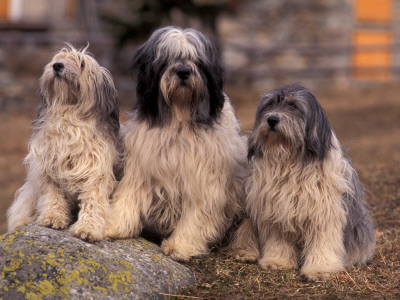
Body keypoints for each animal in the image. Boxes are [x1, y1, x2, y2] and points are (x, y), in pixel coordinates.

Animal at [7, 44, 120, 241]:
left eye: (81, 64)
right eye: (58, 59)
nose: (57, 66)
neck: (69, 115)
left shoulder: (96, 171)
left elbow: (93, 201)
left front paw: (88, 228)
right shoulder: (47, 167)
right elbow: (52, 196)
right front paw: (53, 217)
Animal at [104, 25, 248, 260]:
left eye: (197, 60)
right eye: (167, 59)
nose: (183, 72)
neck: (179, 119)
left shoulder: (202, 179)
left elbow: (196, 215)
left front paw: (181, 245)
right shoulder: (142, 165)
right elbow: (128, 195)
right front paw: (112, 224)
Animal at [242, 84, 376, 282]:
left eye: (293, 106)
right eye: (269, 104)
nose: (272, 119)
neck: (289, 160)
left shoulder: (324, 212)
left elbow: (322, 243)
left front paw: (320, 269)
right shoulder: (276, 210)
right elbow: (278, 239)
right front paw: (277, 261)